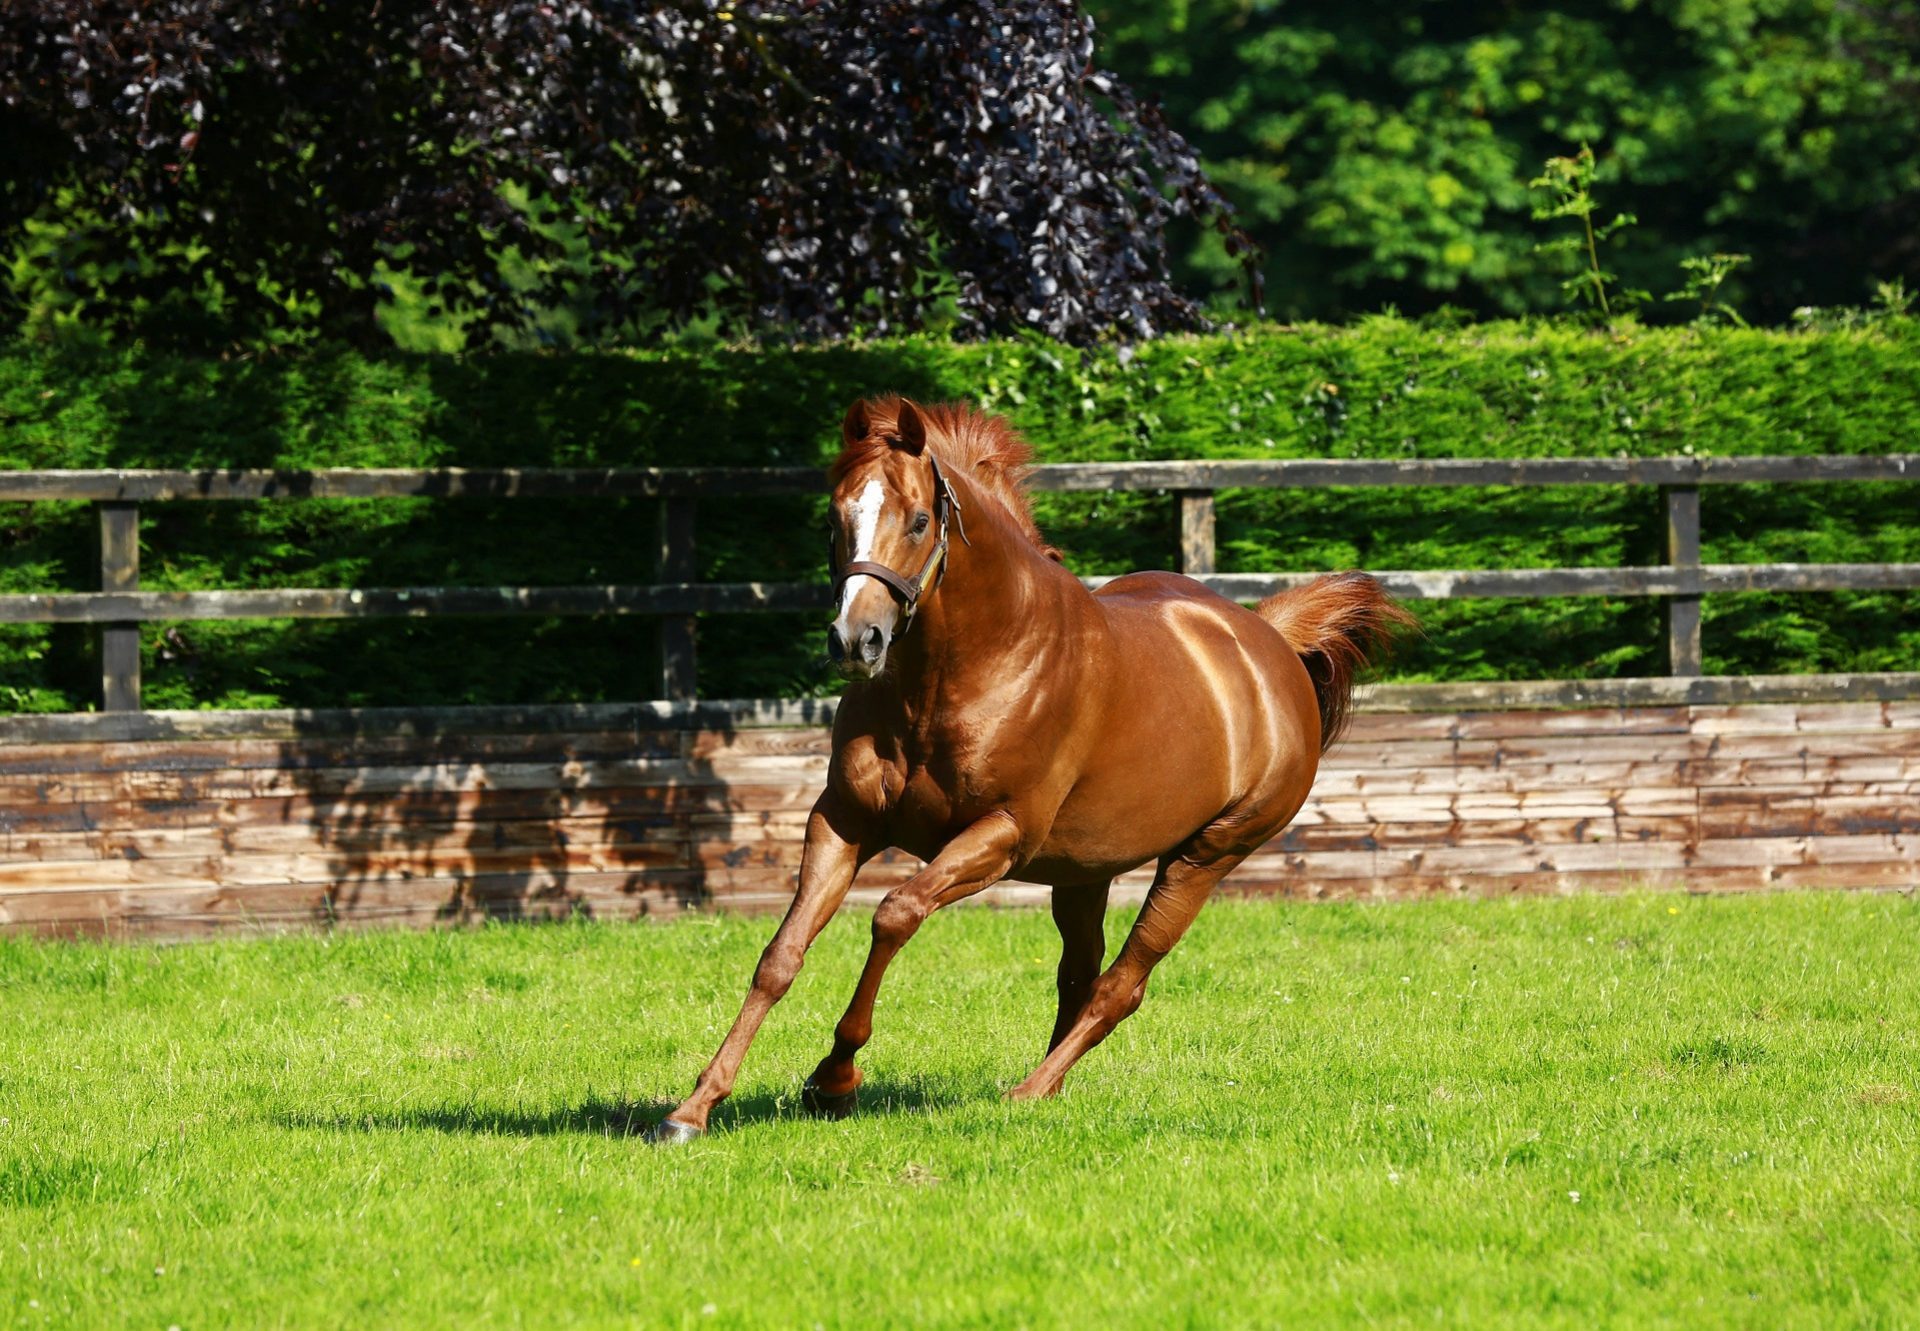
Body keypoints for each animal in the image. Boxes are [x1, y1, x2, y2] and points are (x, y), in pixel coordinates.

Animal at [652, 393, 1405, 1144]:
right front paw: (695, 1107)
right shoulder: (842, 819)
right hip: (1084, 871)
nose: (855, 640)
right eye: (836, 519)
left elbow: (895, 915)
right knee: (1081, 974)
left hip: (1204, 858)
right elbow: (780, 955)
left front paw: (835, 1078)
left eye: (919, 519)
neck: (967, 667)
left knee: (1121, 984)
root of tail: (1268, 640)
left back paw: (1028, 1091)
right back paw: (1051, 1086)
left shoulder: (1001, 835)